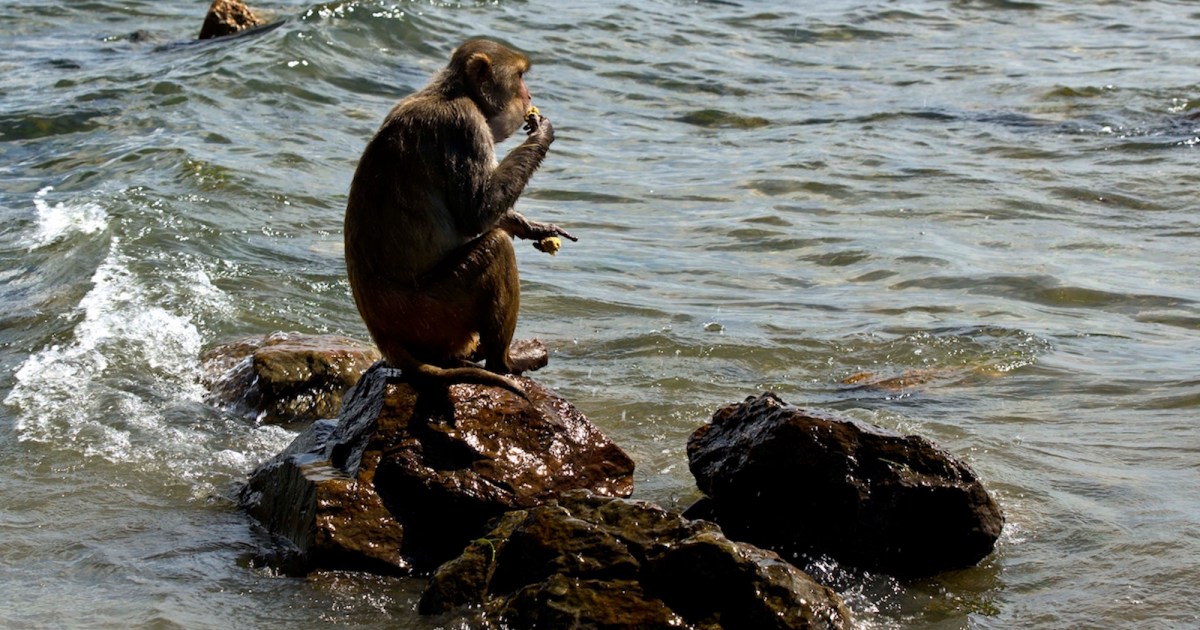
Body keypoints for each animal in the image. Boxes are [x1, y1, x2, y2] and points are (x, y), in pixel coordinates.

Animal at [344, 39, 575, 396]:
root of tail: (384, 337)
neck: (451, 91)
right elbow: (476, 213)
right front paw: (541, 134)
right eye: (520, 77)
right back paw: (504, 362)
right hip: (432, 315)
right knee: (496, 249)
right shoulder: (465, 125)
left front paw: (531, 227)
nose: (530, 95)